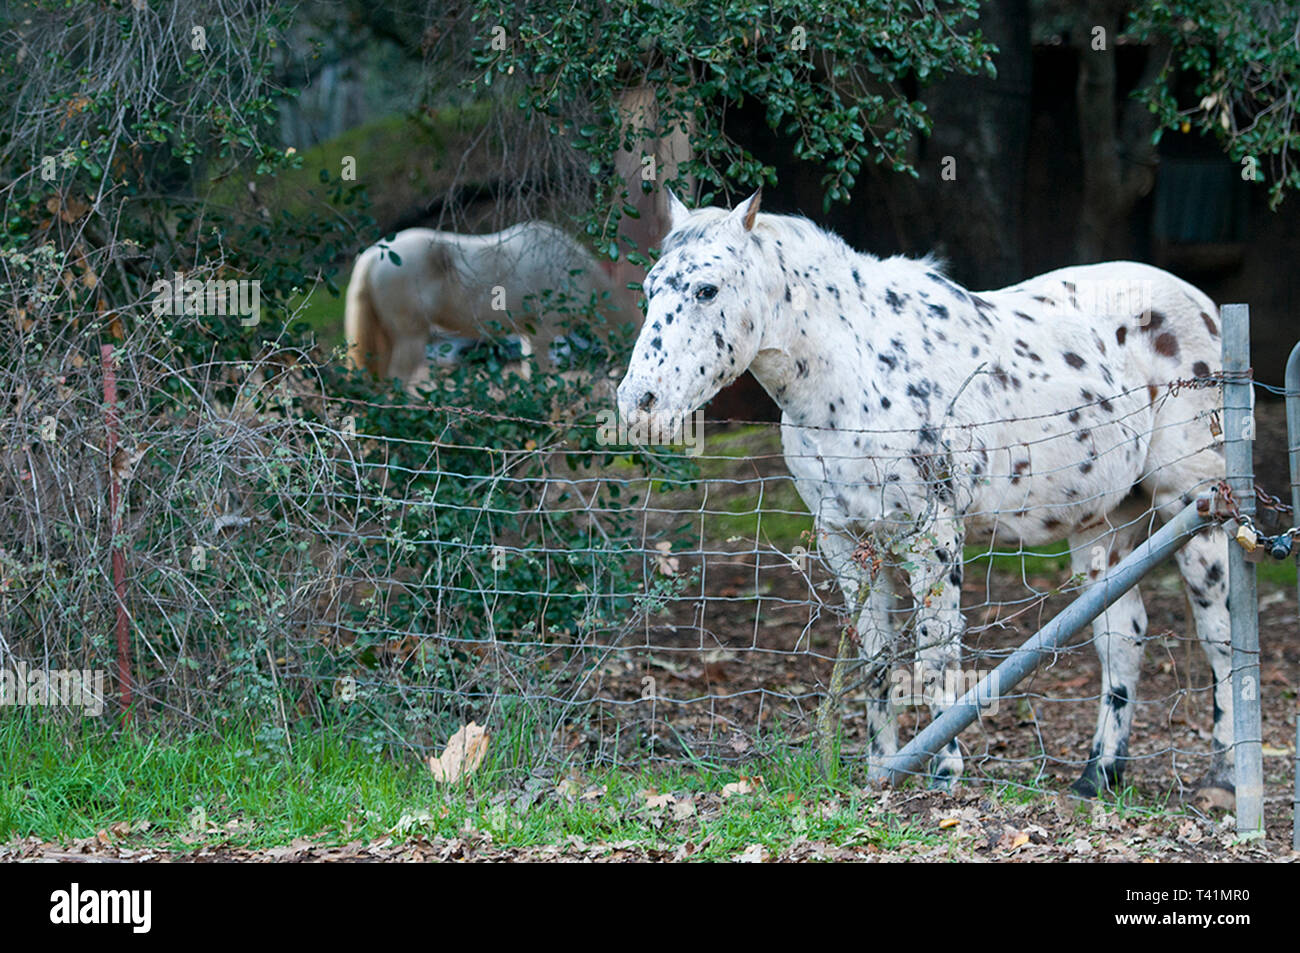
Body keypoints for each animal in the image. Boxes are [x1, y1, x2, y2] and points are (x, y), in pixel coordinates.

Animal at [616, 190, 1233, 797]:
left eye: (707, 289)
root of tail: (1202, 305)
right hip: (1101, 525)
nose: (638, 403)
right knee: (1122, 635)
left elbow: (936, 650)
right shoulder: (846, 541)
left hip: (1193, 504)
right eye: (648, 290)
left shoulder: (932, 537)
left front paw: (944, 771)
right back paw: (1097, 775)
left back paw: (1222, 779)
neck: (853, 375)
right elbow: (877, 657)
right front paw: (880, 767)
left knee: (1217, 633)